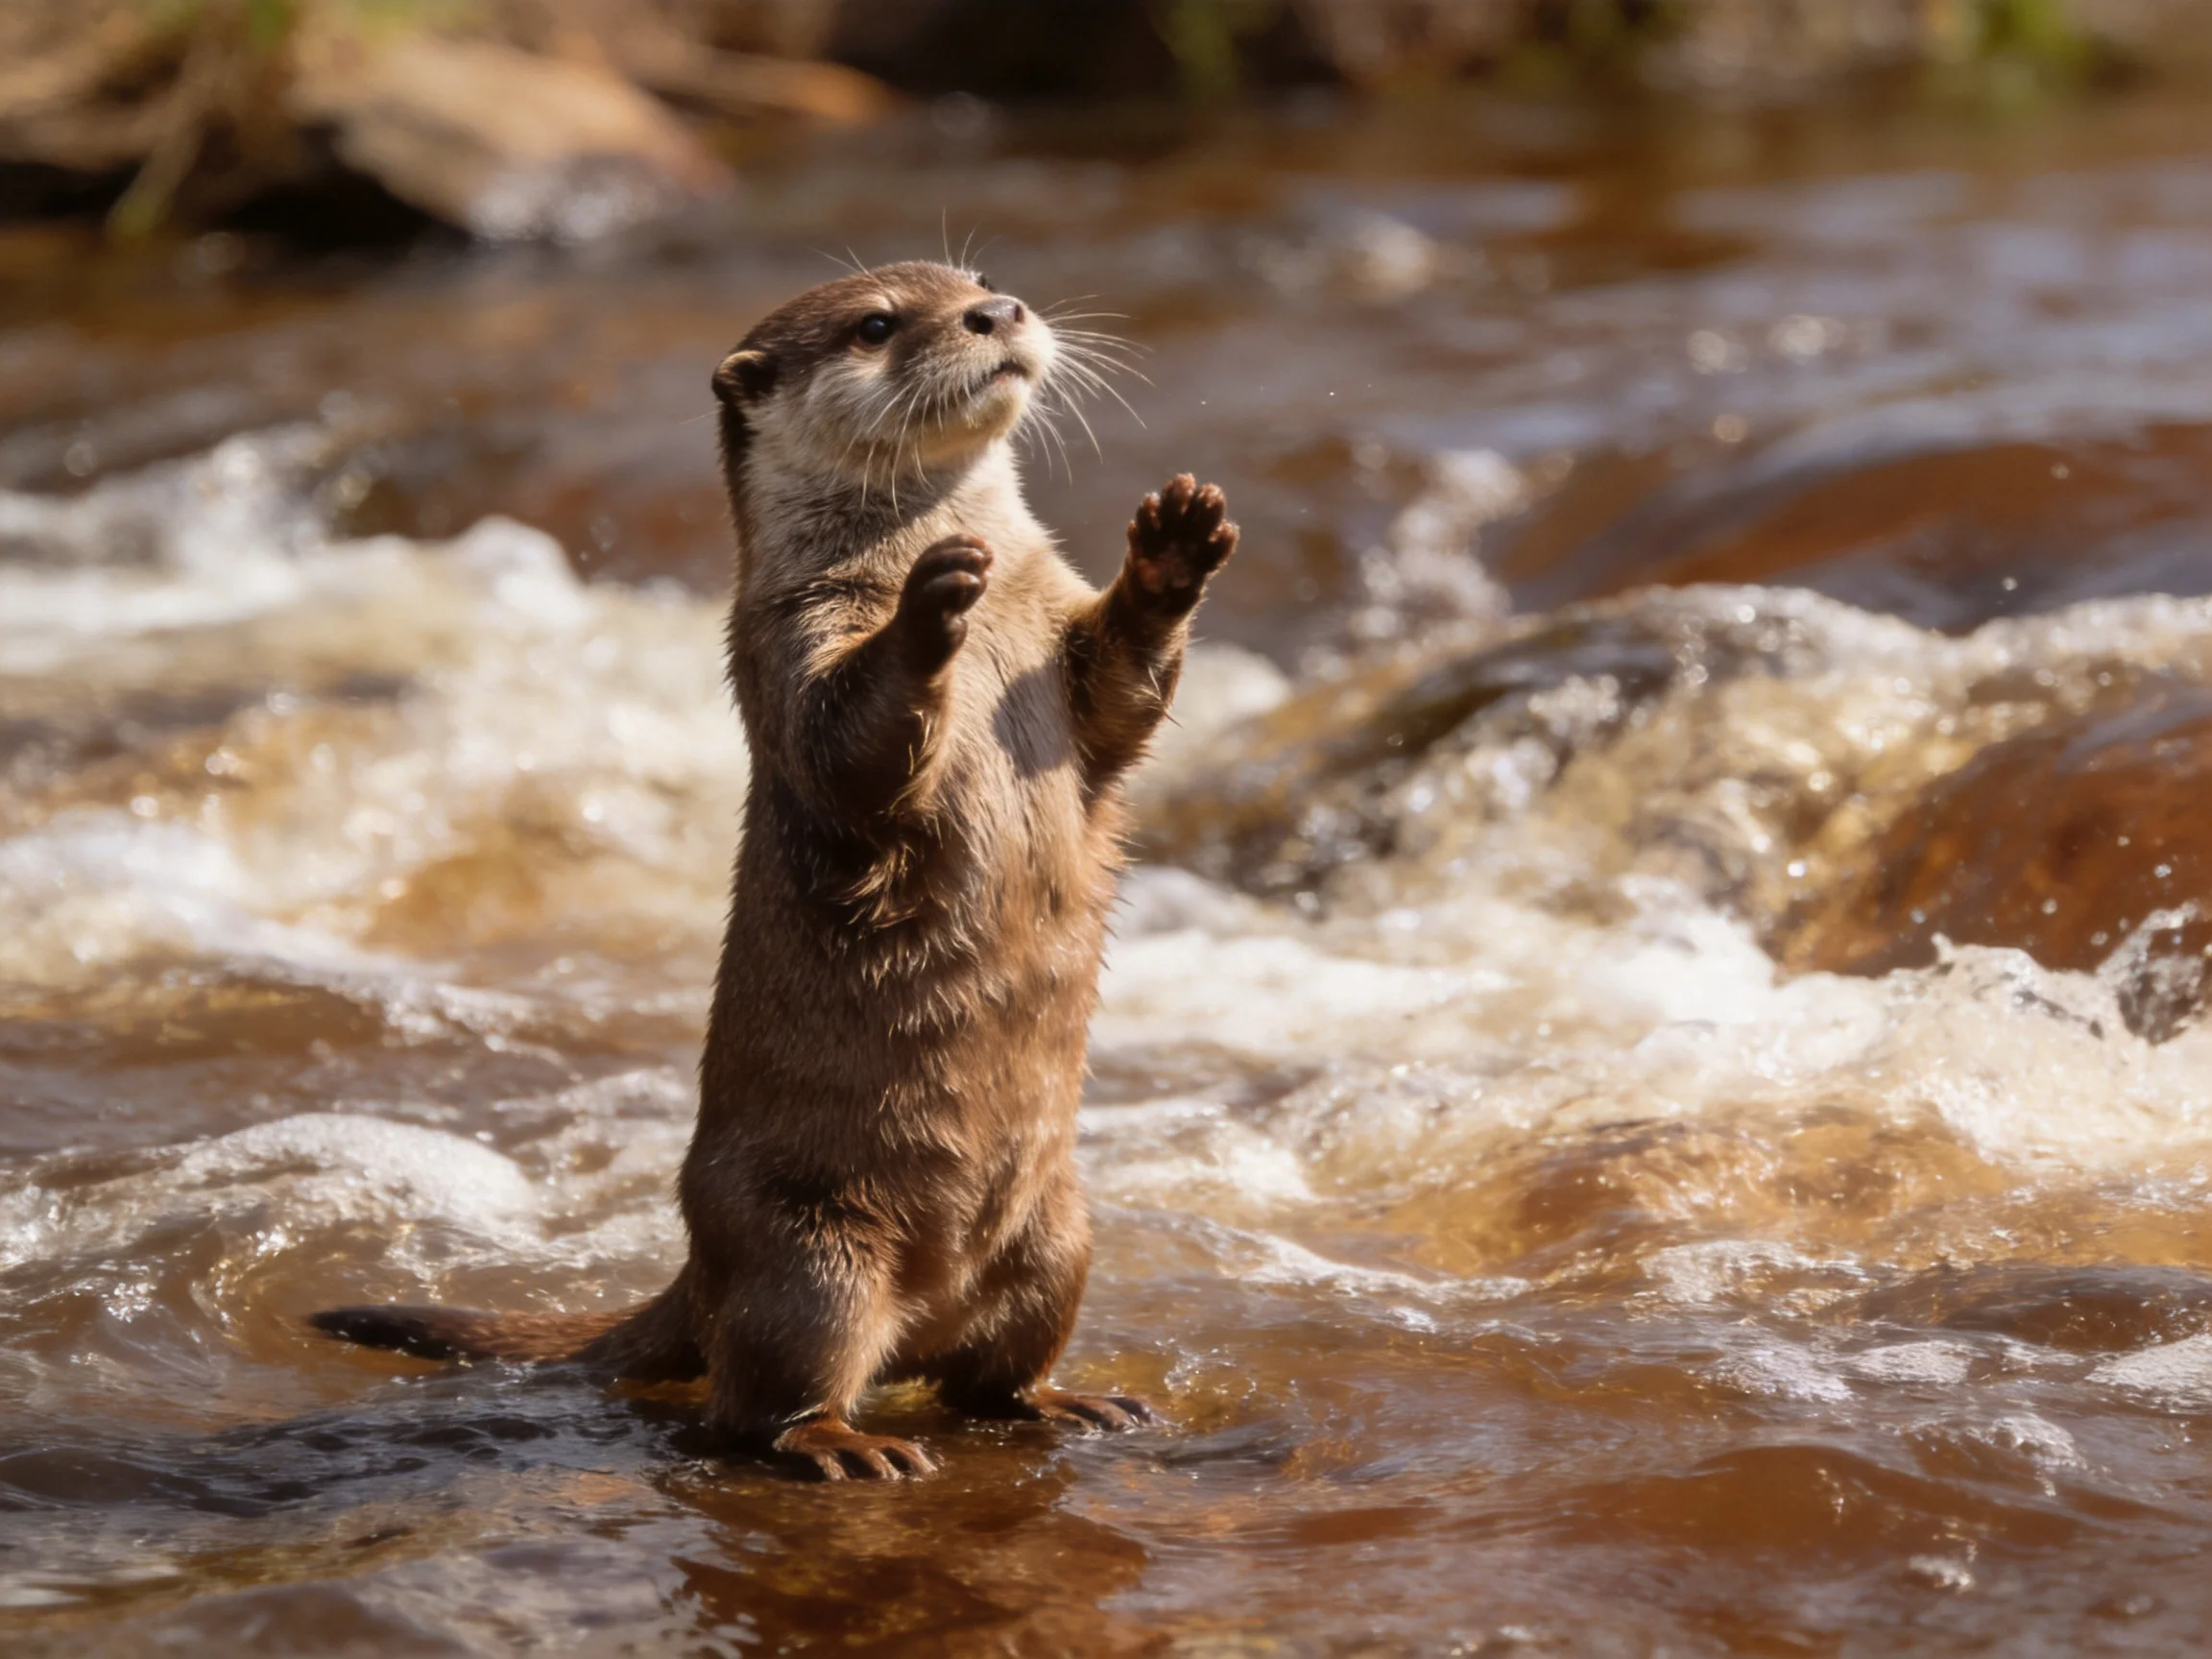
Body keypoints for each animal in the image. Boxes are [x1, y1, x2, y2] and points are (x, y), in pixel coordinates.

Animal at [312, 262, 1237, 1481]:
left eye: (982, 282)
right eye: (879, 324)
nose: (998, 314)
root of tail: (698, 1268)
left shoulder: (1065, 651)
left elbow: (1125, 693)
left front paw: (1175, 547)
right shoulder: (786, 640)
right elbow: (848, 752)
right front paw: (930, 602)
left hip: (1061, 1235)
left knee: (988, 1375)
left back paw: (1064, 1401)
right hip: (810, 1252)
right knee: (757, 1400)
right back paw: (844, 1445)